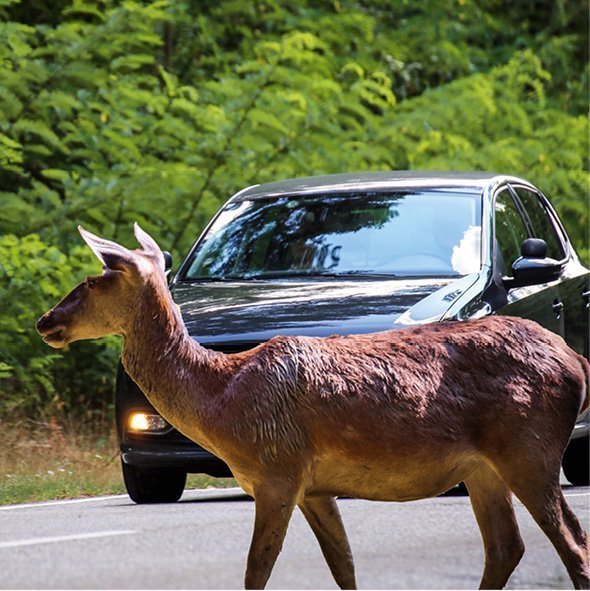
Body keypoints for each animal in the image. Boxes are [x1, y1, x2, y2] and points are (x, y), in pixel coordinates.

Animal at [38, 224, 590, 588]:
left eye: (94, 280)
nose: (46, 320)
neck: (222, 401)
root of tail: (576, 362)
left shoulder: (277, 471)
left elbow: (256, 570)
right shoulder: (314, 486)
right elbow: (344, 567)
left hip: (528, 446)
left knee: (573, 545)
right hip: (483, 467)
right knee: (506, 547)